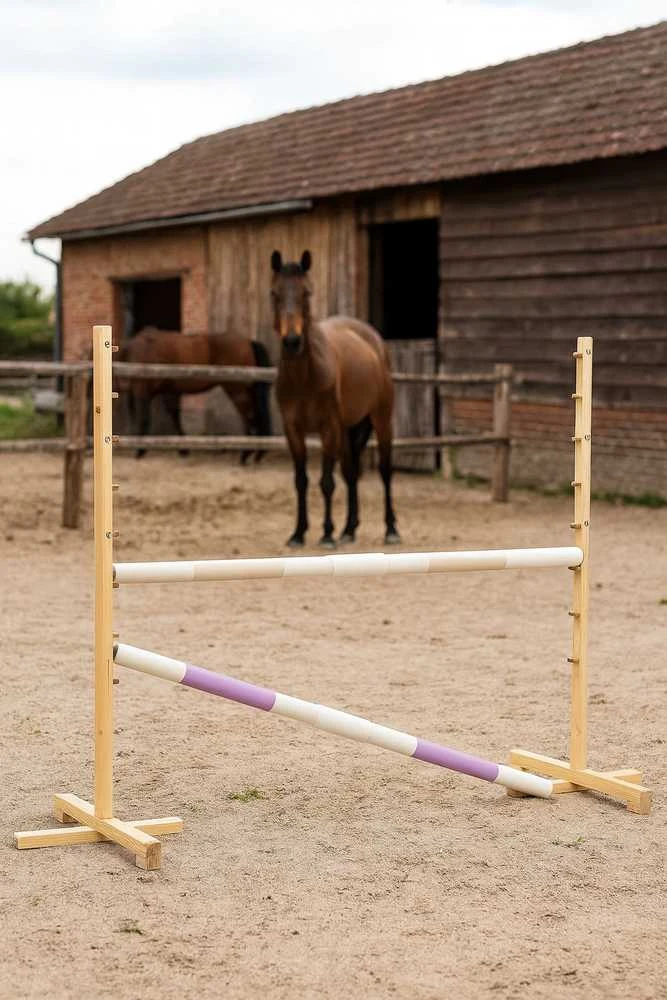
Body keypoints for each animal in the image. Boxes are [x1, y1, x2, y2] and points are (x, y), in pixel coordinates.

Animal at [117, 328, 272, 462]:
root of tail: (248, 341)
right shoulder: (168, 391)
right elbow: (174, 416)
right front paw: (183, 450)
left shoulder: (142, 391)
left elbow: (144, 419)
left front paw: (140, 450)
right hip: (248, 391)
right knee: (255, 416)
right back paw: (257, 453)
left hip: (237, 391)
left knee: (248, 417)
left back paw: (246, 454)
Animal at [271, 249, 399, 548]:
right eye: (275, 293)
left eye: (306, 292)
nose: (292, 342)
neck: (304, 377)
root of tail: (374, 340)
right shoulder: (293, 430)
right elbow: (301, 480)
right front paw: (298, 533)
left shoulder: (328, 427)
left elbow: (326, 481)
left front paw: (327, 533)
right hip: (348, 428)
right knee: (351, 472)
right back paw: (349, 530)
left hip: (380, 420)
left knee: (385, 470)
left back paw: (390, 530)